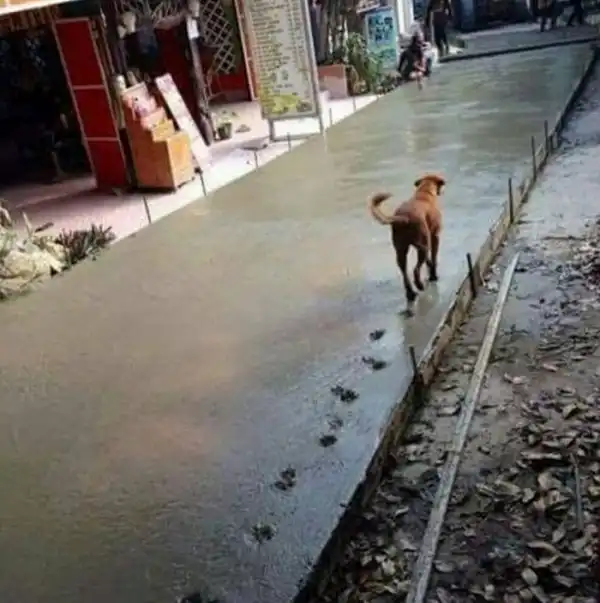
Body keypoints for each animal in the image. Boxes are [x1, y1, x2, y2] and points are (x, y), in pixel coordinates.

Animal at [368, 173, 445, 305]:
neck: (424, 193)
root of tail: (404, 218)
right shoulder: (435, 237)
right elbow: (434, 259)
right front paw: (433, 276)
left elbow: (428, 260)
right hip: (423, 246)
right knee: (415, 270)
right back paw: (419, 285)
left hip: (401, 251)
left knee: (404, 272)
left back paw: (410, 293)